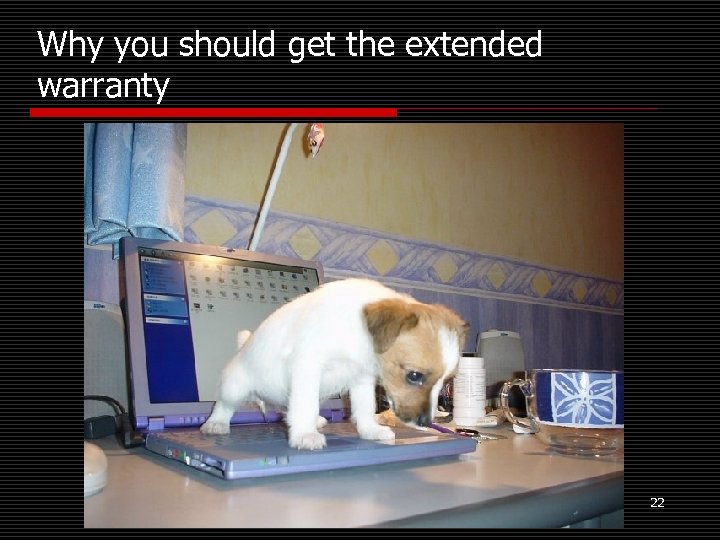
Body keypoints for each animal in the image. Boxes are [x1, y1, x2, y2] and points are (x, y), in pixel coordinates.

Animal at [200, 278, 468, 450]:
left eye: (446, 382)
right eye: (414, 376)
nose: (425, 424)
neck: (356, 332)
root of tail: (243, 346)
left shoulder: (362, 380)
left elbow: (364, 409)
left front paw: (370, 430)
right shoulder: (308, 366)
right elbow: (305, 405)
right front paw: (304, 435)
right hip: (234, 388)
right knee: (224, 405)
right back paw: (215, 424)